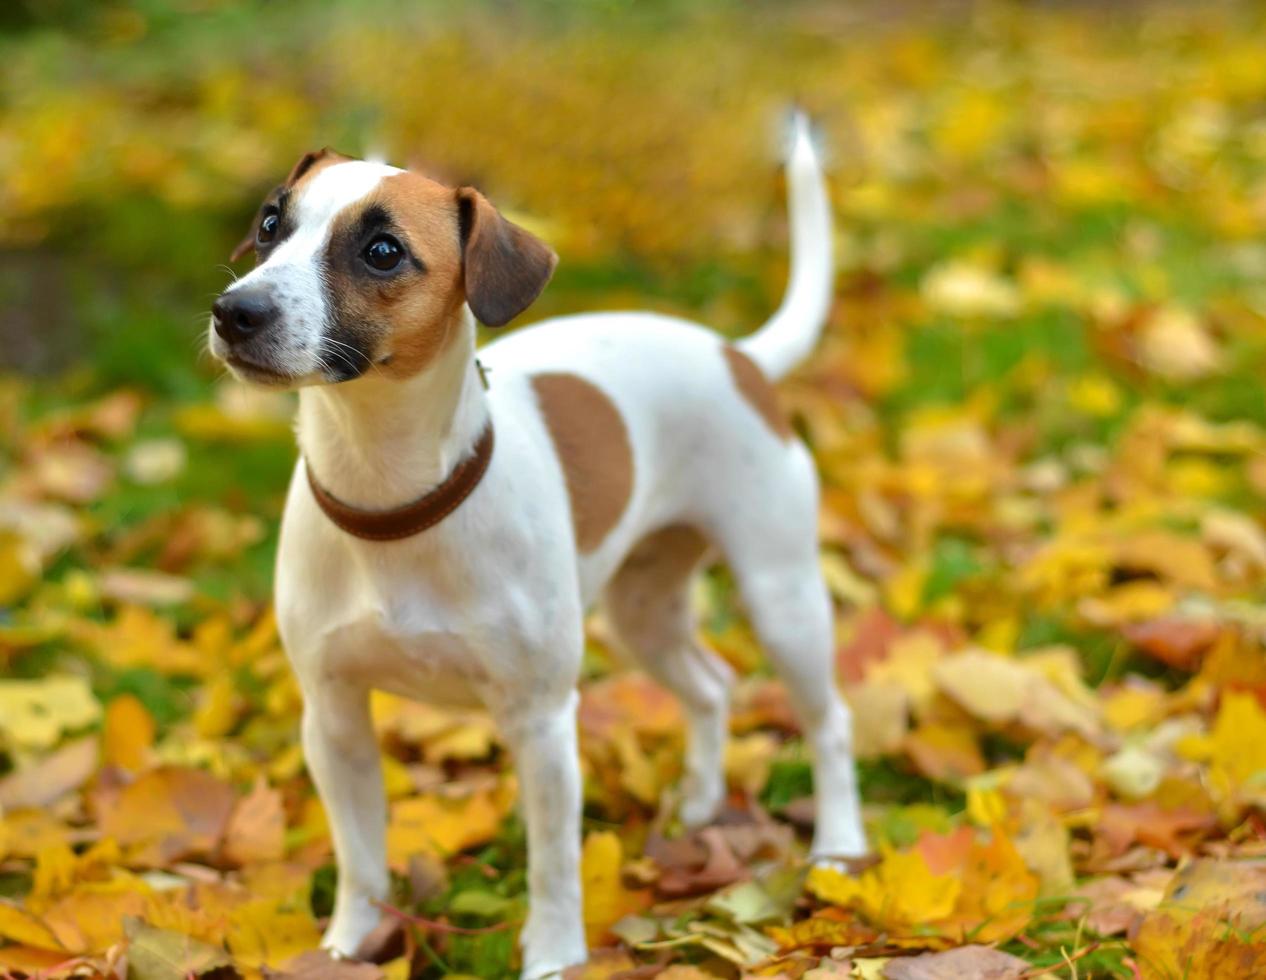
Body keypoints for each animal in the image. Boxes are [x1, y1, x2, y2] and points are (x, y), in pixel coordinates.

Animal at [212, 113, 871, 972]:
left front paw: (555, 957)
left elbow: (553, 863)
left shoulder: (543, 722)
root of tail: (738, 355)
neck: (394, 500)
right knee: (711, 685)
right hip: (642, 610)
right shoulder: (332, 717)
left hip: (781, 596)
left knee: (828, 725)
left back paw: (838, 847)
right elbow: (359, 857)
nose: (235, 311)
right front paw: (347, 948)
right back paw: (698, 805)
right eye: (269, 223)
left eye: (382, 251)